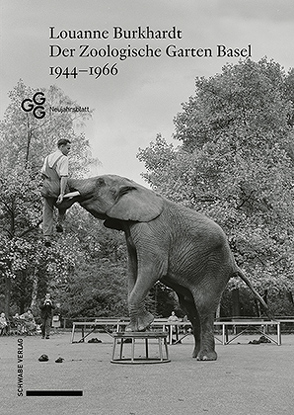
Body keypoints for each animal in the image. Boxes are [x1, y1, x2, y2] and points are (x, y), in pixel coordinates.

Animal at [42, 176, 270, 360]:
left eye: (100, 182)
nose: (61, 199)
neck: (136, 188)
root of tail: (233, 262)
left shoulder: (151, 230)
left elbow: (152, 269)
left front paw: (142, 326)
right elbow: (132, 272)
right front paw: (135, 329)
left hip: (215, 269)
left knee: (204, 307)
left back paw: (205, 358)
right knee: (190, 308)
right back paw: (195, 355)